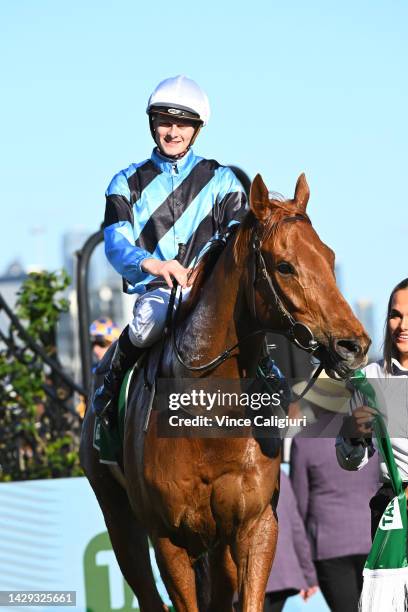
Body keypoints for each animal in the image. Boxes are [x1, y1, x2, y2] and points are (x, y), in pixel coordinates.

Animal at [79, 173, 370, 612]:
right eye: (284, 266)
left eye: (329, 257)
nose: (353, 345)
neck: (211, 416)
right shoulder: (169, 541)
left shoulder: (254, 525)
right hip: (120, 520)